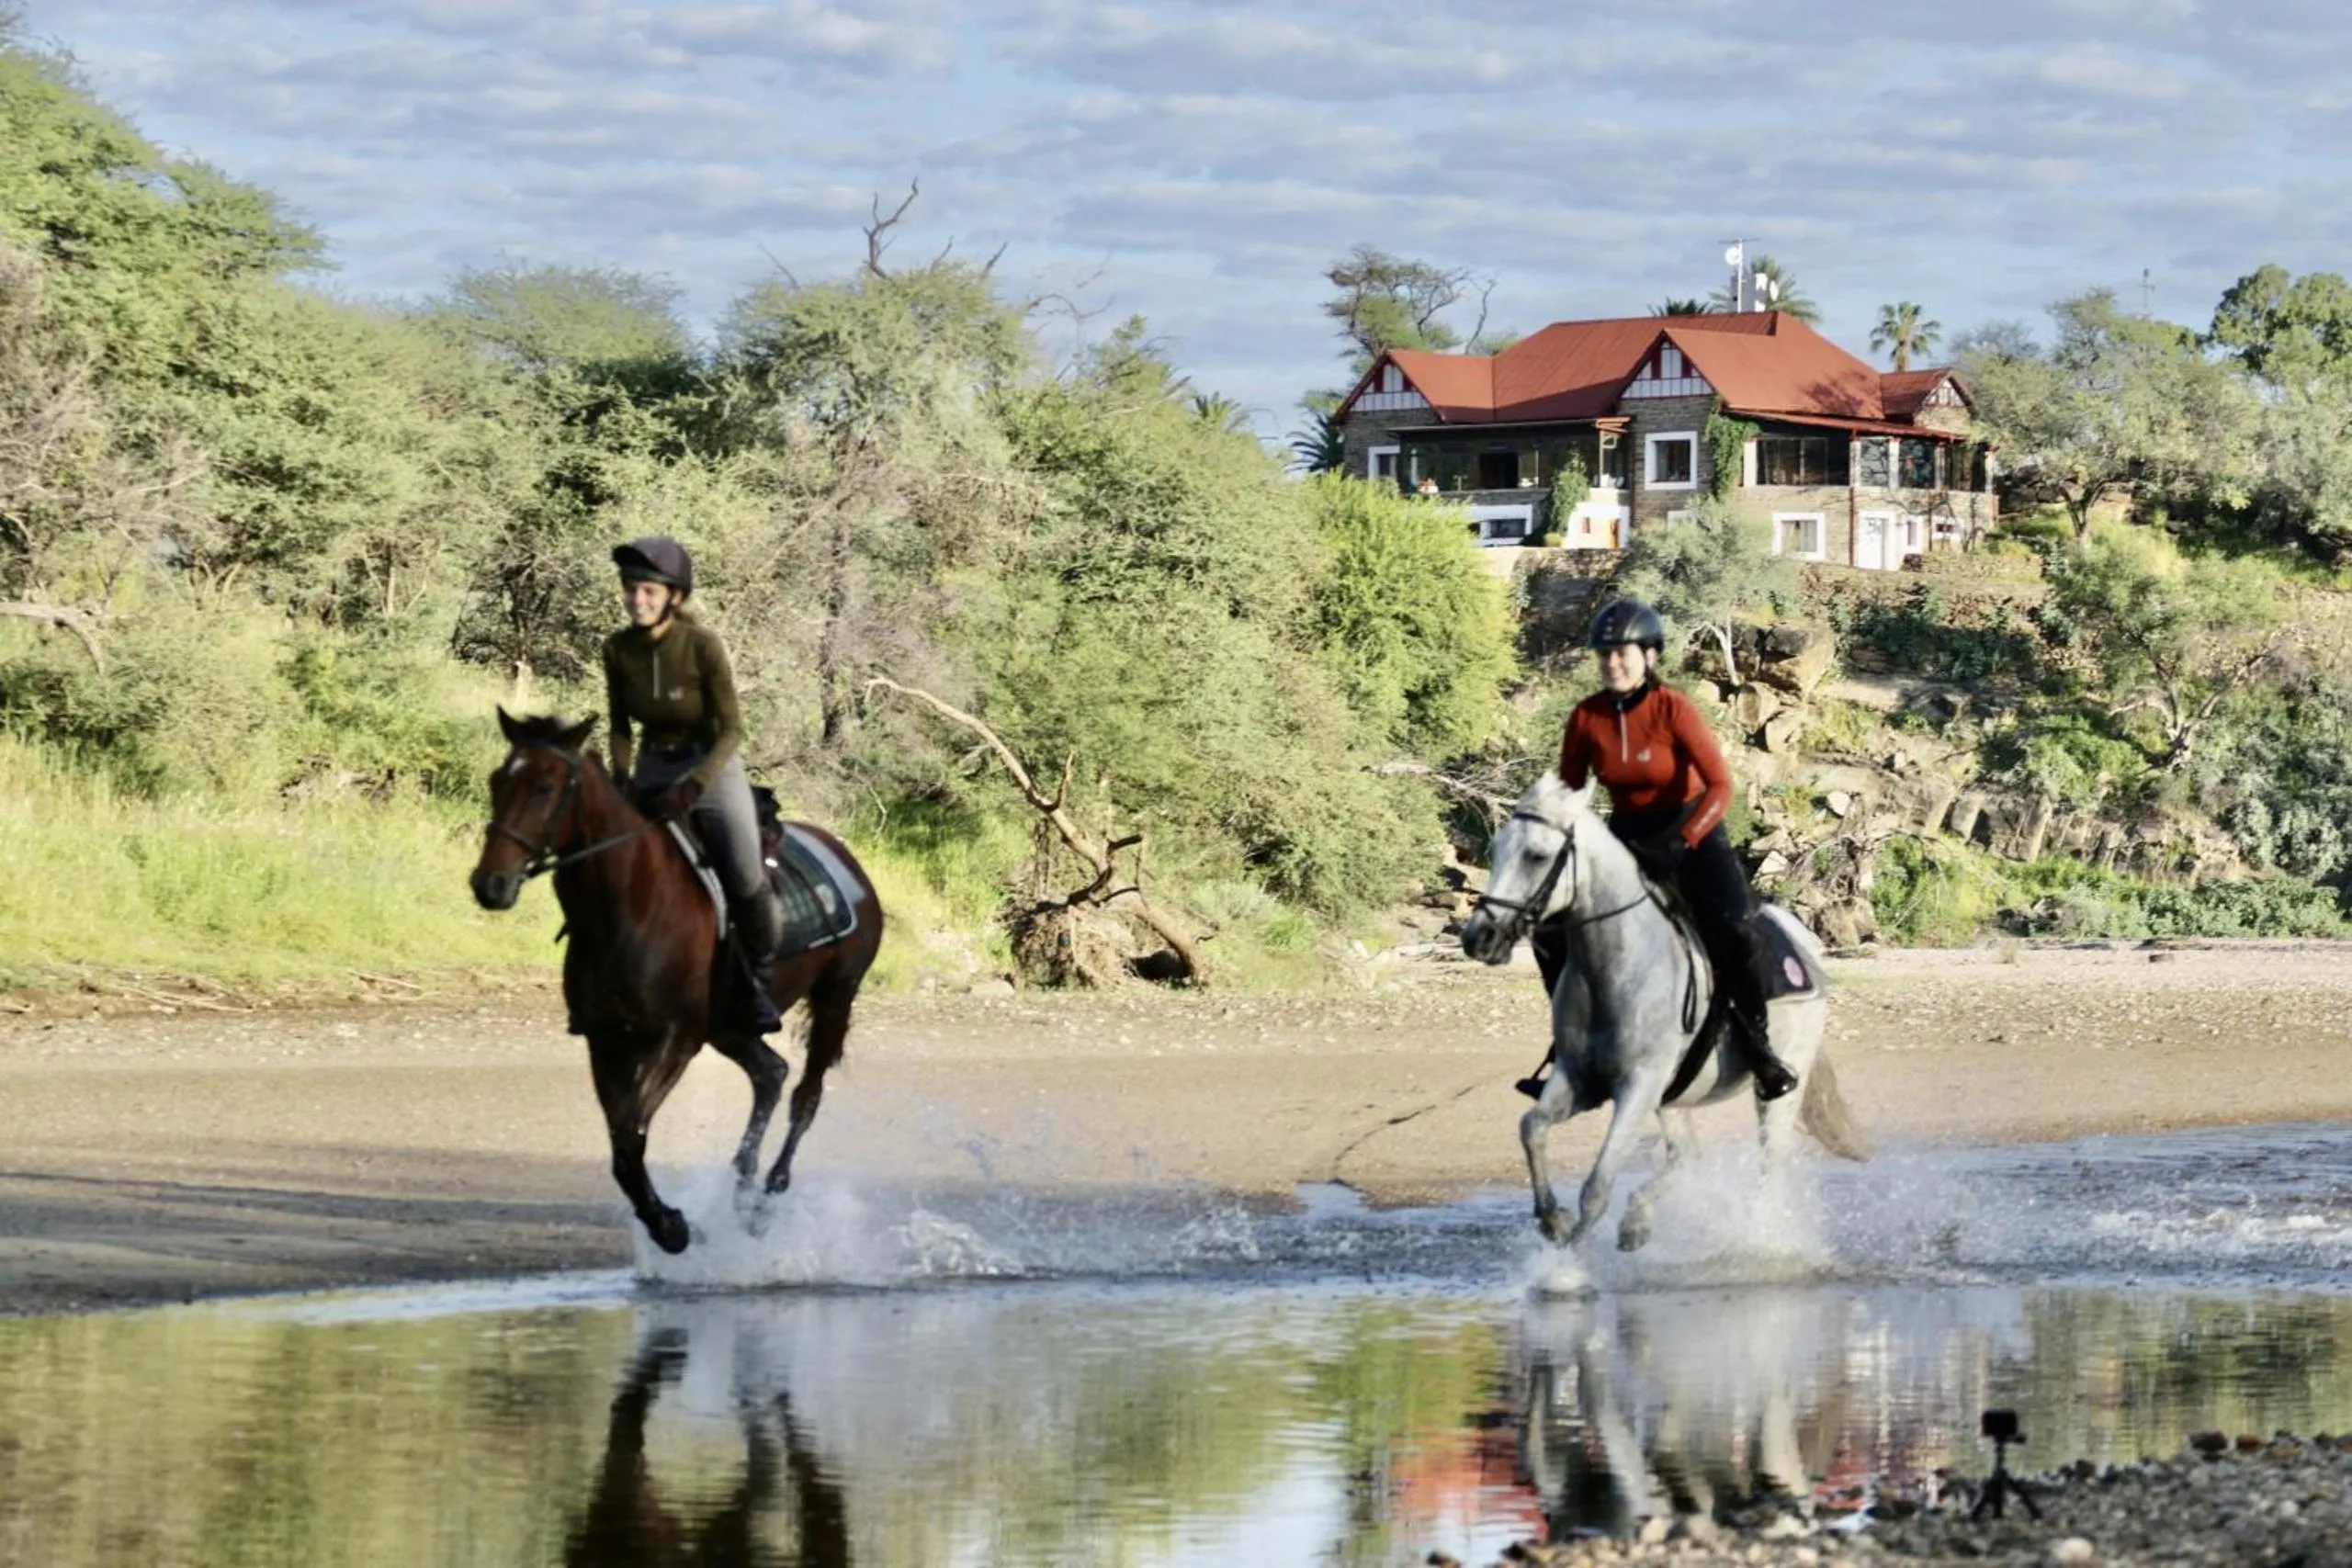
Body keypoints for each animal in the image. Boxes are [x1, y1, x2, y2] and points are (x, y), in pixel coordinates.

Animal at [469, 710, 884, 1255]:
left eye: (544, 787)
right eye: (497, 781)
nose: (489, 884)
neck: (627, 904)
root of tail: (848, 861)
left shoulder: (675, 1041)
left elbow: (631, 1136)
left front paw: (671, 1227)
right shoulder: (606, 1041)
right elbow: (622, 1143)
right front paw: (669, 1222)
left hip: (835, 997)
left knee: (805, 1097)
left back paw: (766, 1197)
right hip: (730, 1025)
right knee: (770, 1074)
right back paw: (741, 1185)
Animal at [1458, 772, 1868, 1251]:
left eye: (1536, 856)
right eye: (1497, 848)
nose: (1478, 938)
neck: (1617, 964)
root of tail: (1805, 942)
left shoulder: (1638, 1086)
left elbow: (1597, 1187)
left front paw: (1567, 1261)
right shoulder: (1578, 1079)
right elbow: (1531, 1127)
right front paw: (1553, 1221)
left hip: (1776, 1090)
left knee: (1769, 1163)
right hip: (1674, 1095)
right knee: (1686, 1152)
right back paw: (1638, 1221)